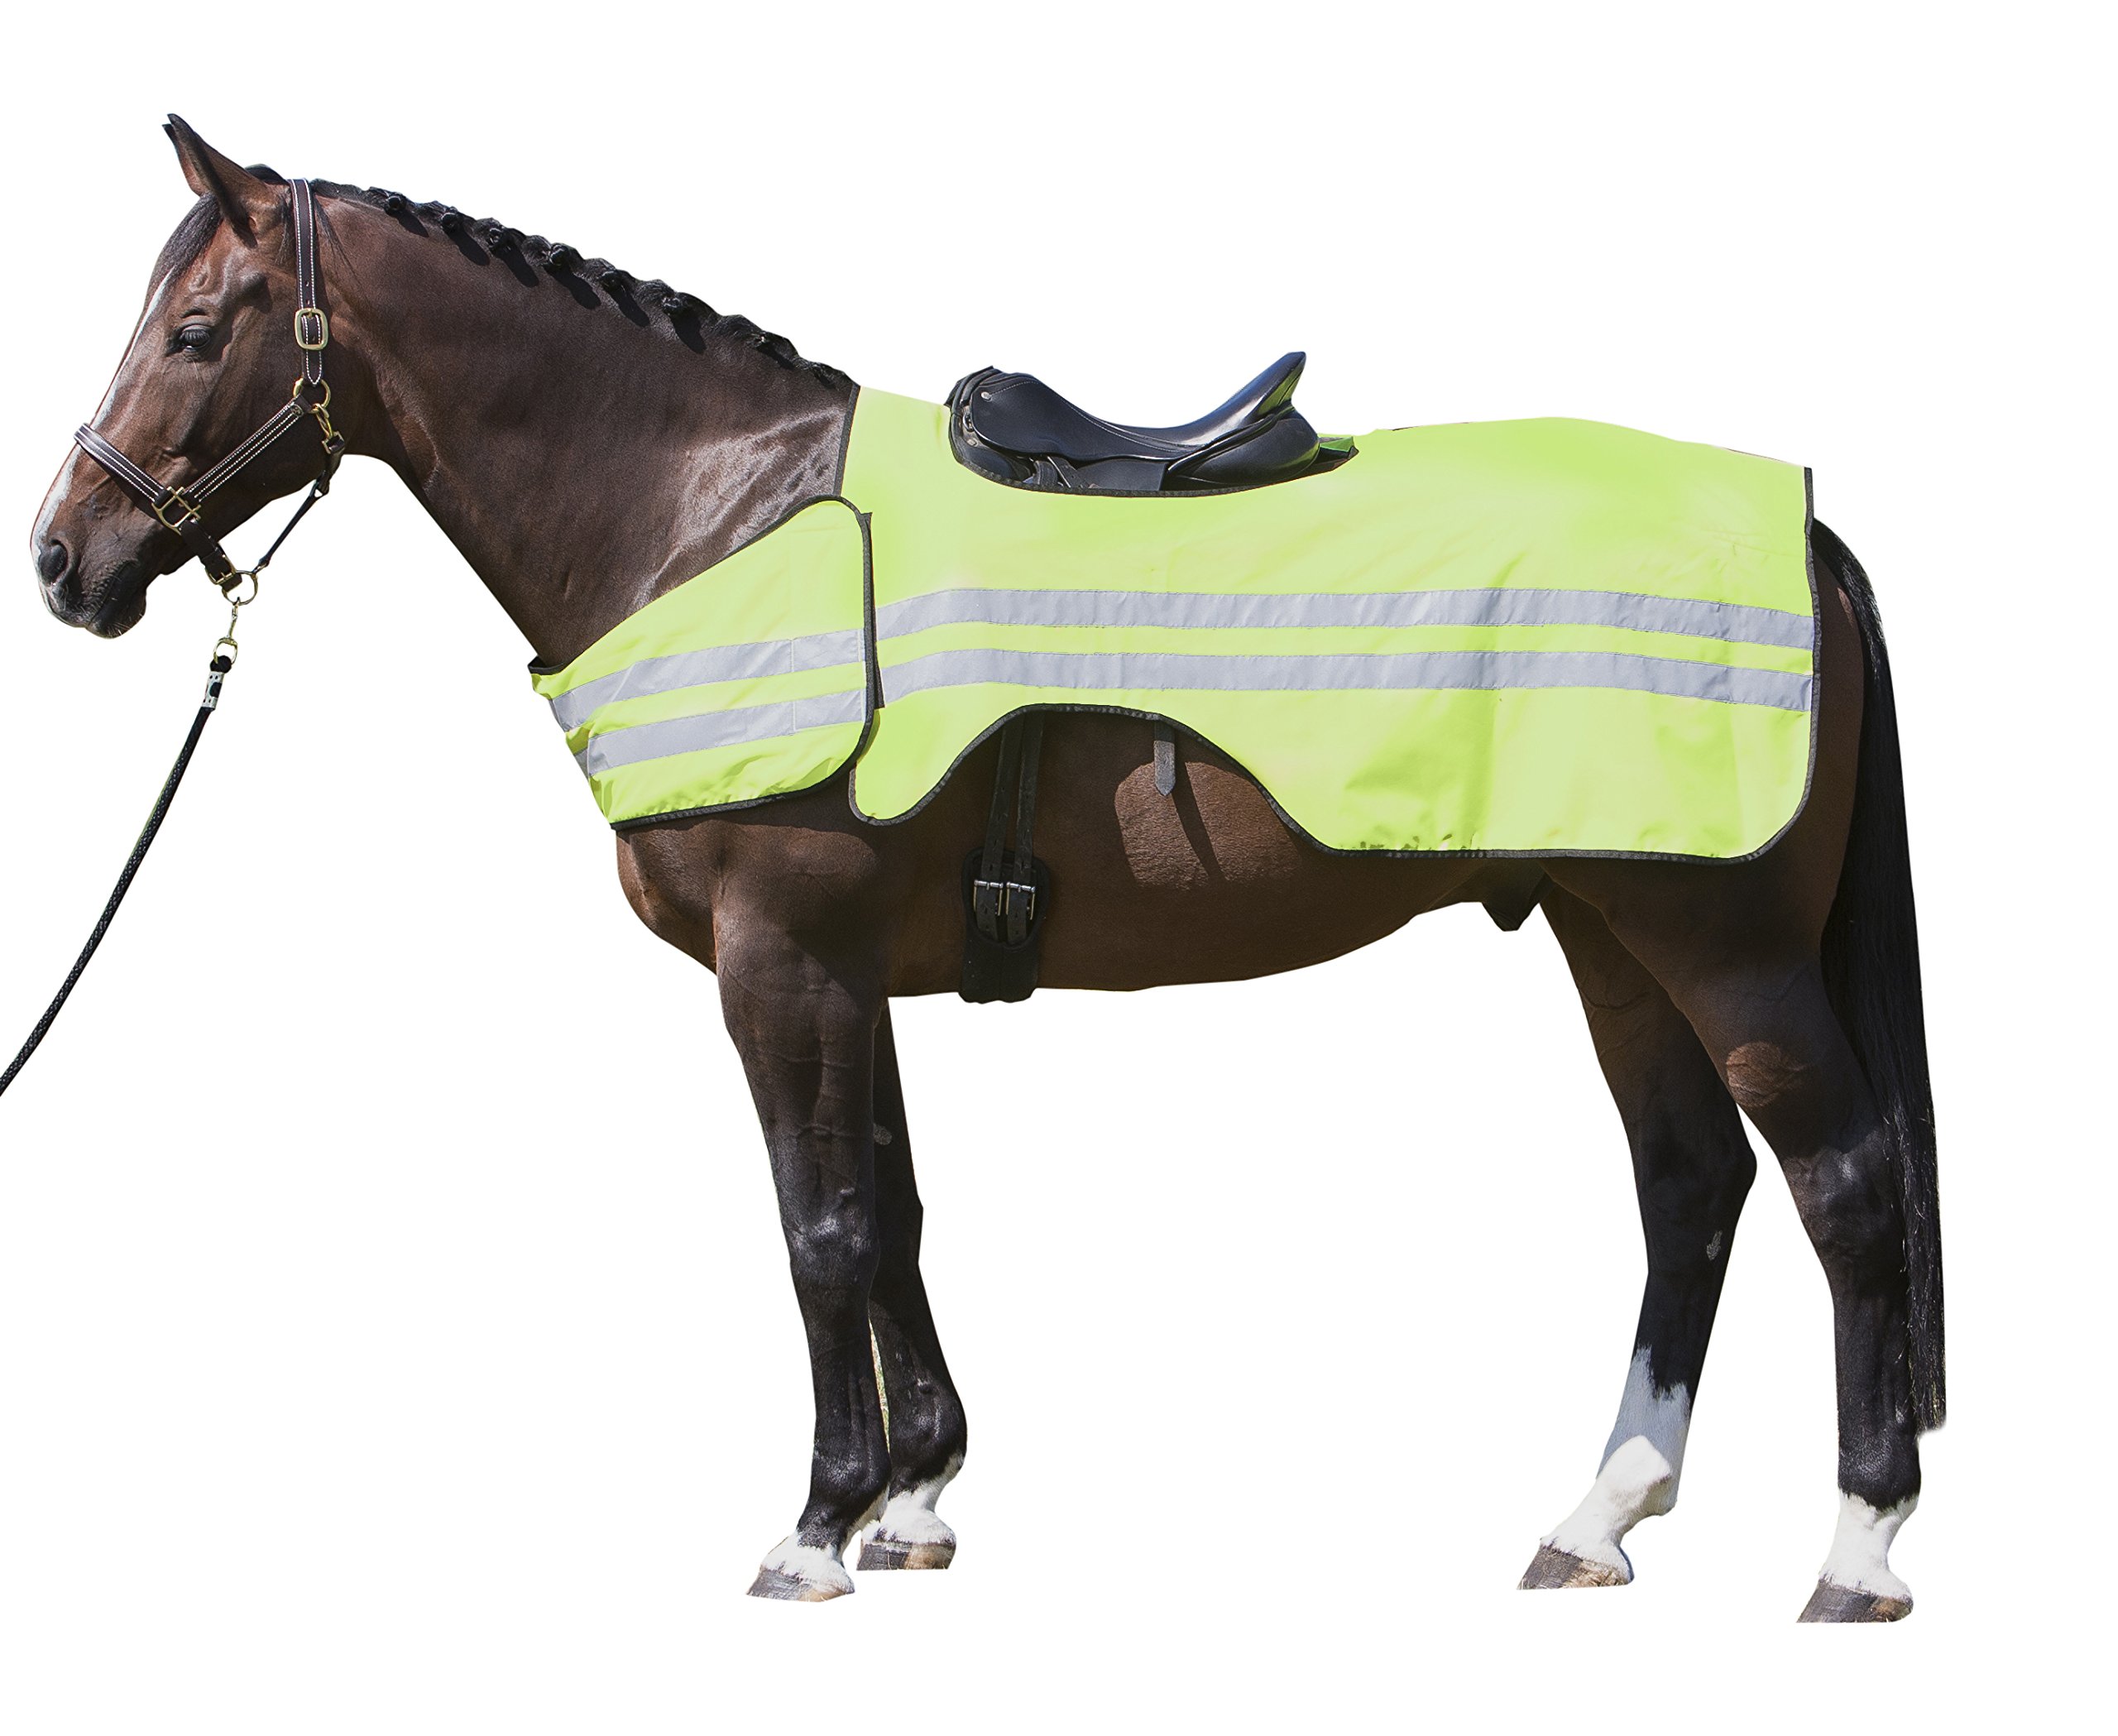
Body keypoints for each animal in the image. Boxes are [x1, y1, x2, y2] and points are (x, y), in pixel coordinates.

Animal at [29, 117, 1941, 1620]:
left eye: (193, 327)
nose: (65, 558)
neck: (716, 516)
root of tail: (1805, 530)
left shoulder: (778, 957)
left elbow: (817, 1224)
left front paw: (813, 1525)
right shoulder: (849, 965)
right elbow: (891, 1209)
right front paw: (918, 1496)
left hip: (1721, 944)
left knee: (1843, 1182)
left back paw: (1855, 1549)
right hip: (1613, 933)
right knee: (1690, 1184)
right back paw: (1597, 1516)